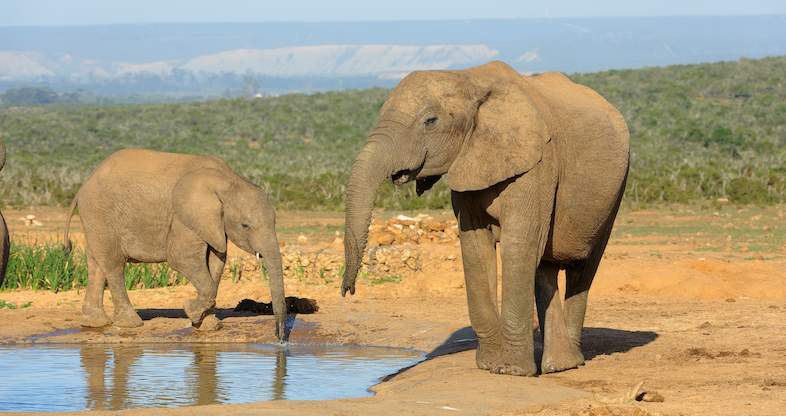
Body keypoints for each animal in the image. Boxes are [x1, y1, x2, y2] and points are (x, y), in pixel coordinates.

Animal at [63, 148, 286, 338]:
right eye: (245, 225)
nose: (279, 338)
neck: (229, 181)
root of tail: (83, 186)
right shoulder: (183, 217)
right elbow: (181, 258)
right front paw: (191, 312)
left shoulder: (213, 224)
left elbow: (216, 262)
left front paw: (206, 325)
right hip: (100, 213)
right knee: (114, 265)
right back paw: (131, 324)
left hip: (96, 218)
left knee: (96, 264)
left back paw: (96, 323)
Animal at [341, 61, 629, 376]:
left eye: (430, 121)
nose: (348, 290)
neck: (469, 78)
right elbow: (475, 247)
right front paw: (490, 366)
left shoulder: (538, 163)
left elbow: (519, 244)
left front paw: (512, 372)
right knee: (545, 268)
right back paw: (559, 366)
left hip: (614, 190)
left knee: (582, 268)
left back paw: (568, 363)